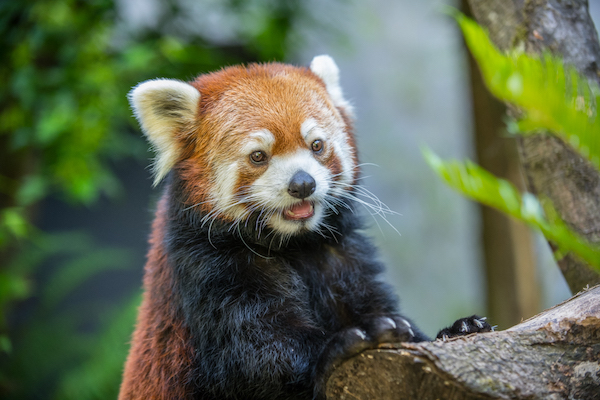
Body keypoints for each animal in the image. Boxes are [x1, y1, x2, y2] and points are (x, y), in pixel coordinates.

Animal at [119, 54, 490, 398]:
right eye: (258, 156)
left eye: (317, 145)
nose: (302, 184)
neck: (293, 244)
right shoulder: (206, 266)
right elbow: (254, 352)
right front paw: (345, 344)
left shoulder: (339, 253)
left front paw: (458, 329)